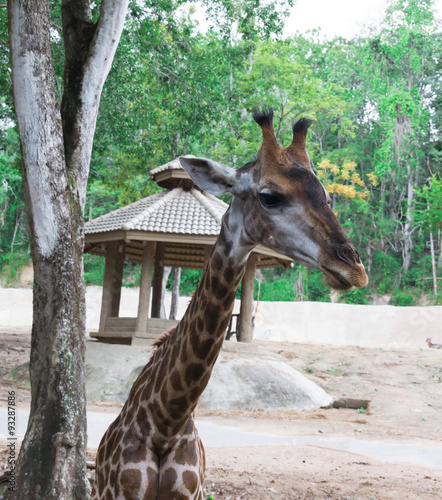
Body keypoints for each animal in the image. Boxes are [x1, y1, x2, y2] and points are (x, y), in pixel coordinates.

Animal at [90, 106, 370, 500]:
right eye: (269, 196)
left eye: (327, 198)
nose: (354, 270)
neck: (166, 421)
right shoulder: (120, 494)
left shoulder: (193, 493)